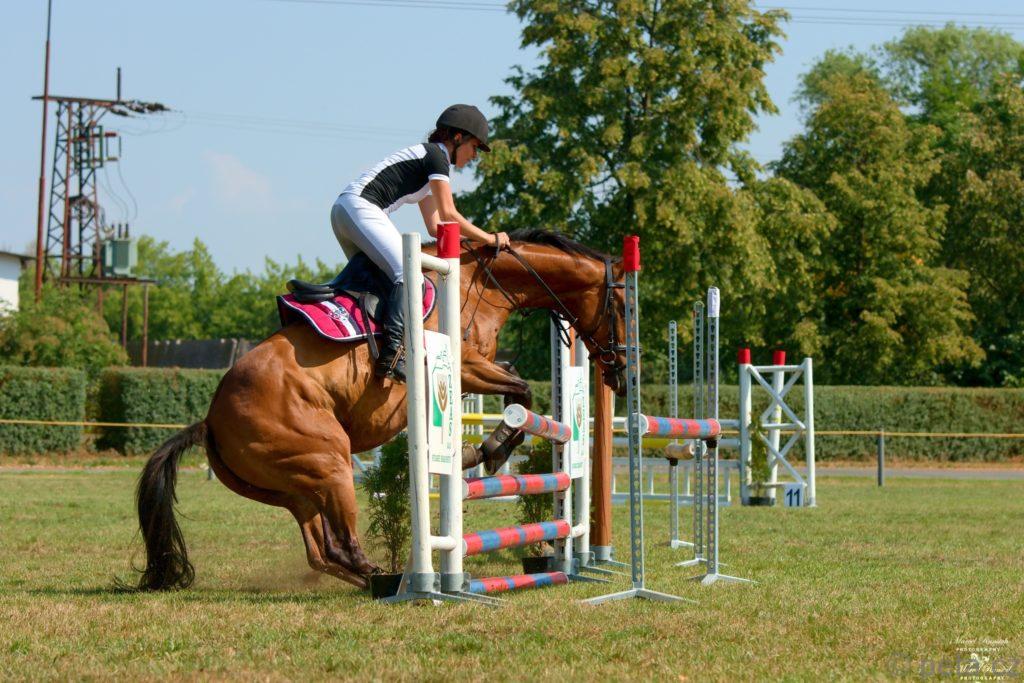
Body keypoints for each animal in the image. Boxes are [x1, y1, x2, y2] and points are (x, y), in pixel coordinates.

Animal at [131, 230, 627, 591]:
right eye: (621, 305)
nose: (620, 372)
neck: (478, 284)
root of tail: (211, 420)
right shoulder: (464, 366)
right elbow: (520, 392)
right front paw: (489, 450)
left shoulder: (477, 368)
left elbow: (516, 386)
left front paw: (485, 449)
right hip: (329, 459)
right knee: (341, 544)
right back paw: (389, 579)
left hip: (294, 486)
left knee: (321, 549)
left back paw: (373, 580)